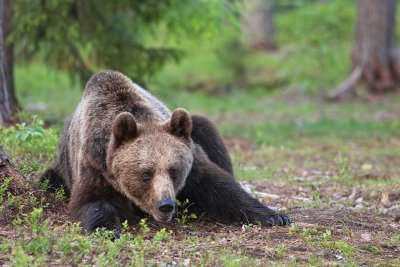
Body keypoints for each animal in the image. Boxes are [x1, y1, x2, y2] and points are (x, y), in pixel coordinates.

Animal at [42, 70, 290, 234]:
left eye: (174, 170)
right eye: (146, 173)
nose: (166, 205)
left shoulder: (192, 161)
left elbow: (220, 187)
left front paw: (275, 215)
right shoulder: (95, 163)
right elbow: (92, 200)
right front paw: (108, 228)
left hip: (193, 129)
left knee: (204, 126)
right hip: (60, 170)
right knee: (50, 180)